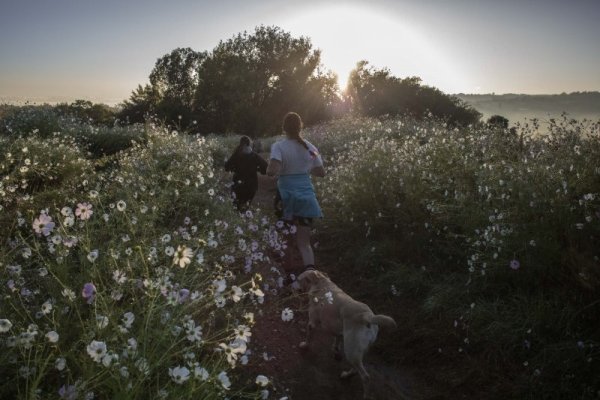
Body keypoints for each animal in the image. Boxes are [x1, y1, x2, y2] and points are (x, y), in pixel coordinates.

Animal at [296, 270, 398, 398]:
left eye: (298, 280)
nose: (295, 289)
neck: (321, 282)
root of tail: (367, 316)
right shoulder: (338, 330)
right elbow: (337, 338)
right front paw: (335, 350)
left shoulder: (312, 323)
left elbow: (309, 336)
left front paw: (305, 345)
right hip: (358, 351)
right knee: (356, 368)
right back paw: (346, 375)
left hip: (350, 351)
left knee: (366, 377)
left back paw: (364, 394)